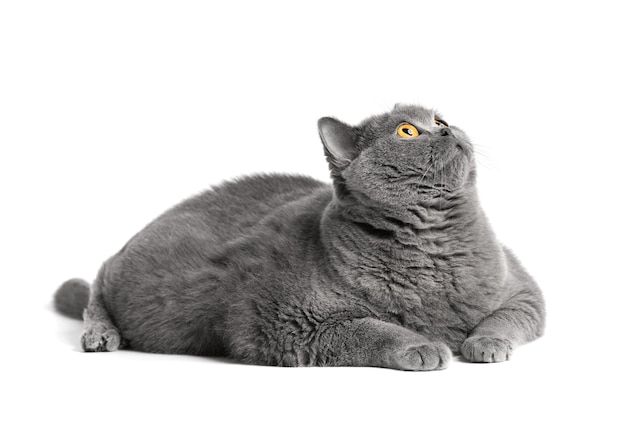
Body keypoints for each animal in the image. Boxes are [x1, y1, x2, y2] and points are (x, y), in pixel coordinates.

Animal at [56, 103, 544, 370]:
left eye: (440, 116)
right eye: (408, 130)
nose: (447, 127)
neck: (433, 244)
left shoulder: (523, 289)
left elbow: (507, 316)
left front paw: (485, 342)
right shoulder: (284, 324)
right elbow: (370, 328)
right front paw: (422, 345)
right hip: (126, 276)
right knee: (94, 287)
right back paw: (100, 335)